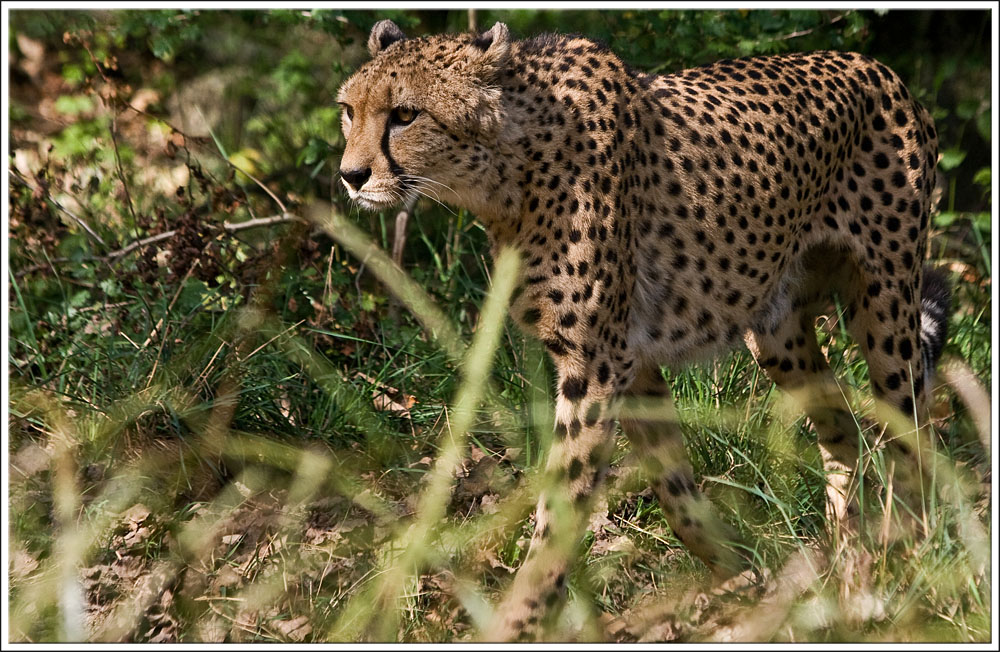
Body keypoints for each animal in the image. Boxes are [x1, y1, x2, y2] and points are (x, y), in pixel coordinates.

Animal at [336, 21, 952, 640]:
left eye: (405, 114)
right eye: (348, 111)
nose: (351, 176)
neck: (511, 165)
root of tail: (876, 66)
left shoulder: (595, 365)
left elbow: (563, 504)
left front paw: (520, 620)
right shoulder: (632, 365)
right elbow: (673, 488)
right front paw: (741, 567)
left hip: (886, 307)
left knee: (913, 433)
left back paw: (910, 559)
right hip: (778, 332)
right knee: (842, 424)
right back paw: (848, 554)